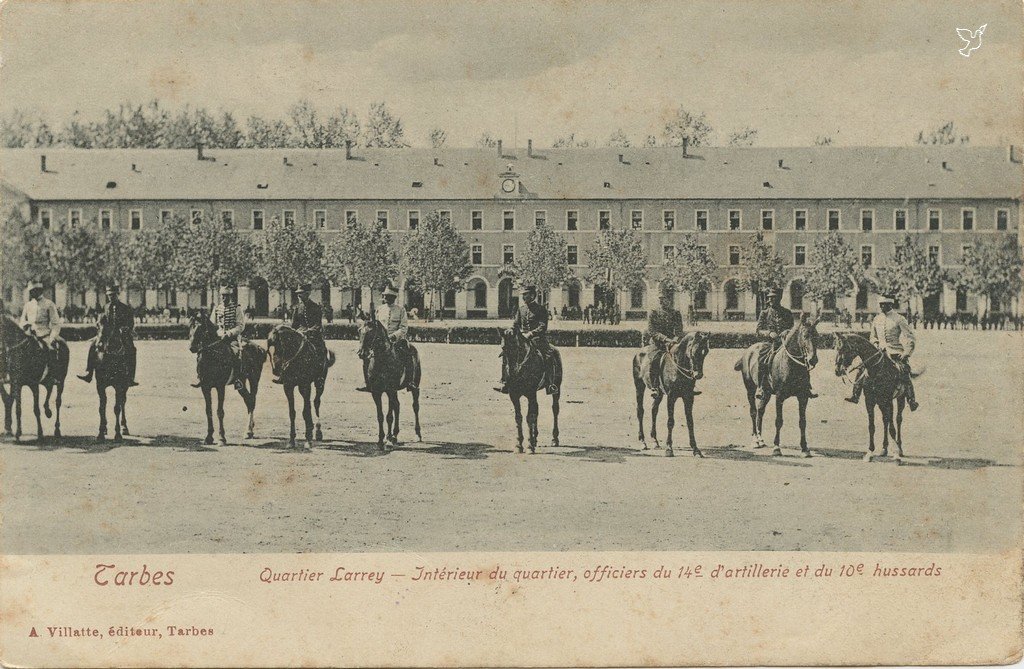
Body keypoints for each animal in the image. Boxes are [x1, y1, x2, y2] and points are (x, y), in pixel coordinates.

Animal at [188, 311, 268, 442]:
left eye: (201, 328)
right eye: (190, 326)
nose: (192, 348)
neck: (212, 356)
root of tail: (260, 348)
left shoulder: (220, 387)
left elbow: (220, 411)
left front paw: (222, 437)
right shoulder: (205, 387)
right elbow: (208, 410)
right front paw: (209, 436)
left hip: (254, 379)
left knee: (252, 401)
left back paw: (249, 430)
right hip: (241, 382)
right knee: (248, 400)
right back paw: (249, 430)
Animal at [358, 317, 421, 448]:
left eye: (371, 332)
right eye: (359, 330)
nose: (361, 353)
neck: (382, 361)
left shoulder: (390, 390)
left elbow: (389, 416)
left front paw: (388, 439)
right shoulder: (376, 392)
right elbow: (380, 416)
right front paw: (381, 439)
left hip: (414, 387)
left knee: (415, 406)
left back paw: (417, 434)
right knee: (397, 406)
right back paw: (394, 435)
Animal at [733, 313, 819, 454]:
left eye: (817, 336)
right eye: (805, 335)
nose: (813, 359)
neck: (792, 365)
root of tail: (748, 351)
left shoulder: (803, 397)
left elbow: (802, 422)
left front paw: (805, 448)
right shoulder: (779, 397)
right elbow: (779, 421)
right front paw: (776, 447)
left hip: (766, 393)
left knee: (760, 410)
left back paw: (760, 438)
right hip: (750, 389)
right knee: (753, 411)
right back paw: (755, 439)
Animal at [831, 331, 921, 461]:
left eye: (844, 348)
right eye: (835, 348)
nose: (837, 370)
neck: (876, 370)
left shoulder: (888, 401)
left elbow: (892, 428)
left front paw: (896, 454)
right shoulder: (870, 401)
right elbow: (871, 426)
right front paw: (870, 452)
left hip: (899, 399)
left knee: (898, 420)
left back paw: (899, 448)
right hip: (881, 402)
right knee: (885, 420)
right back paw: (884, 448)